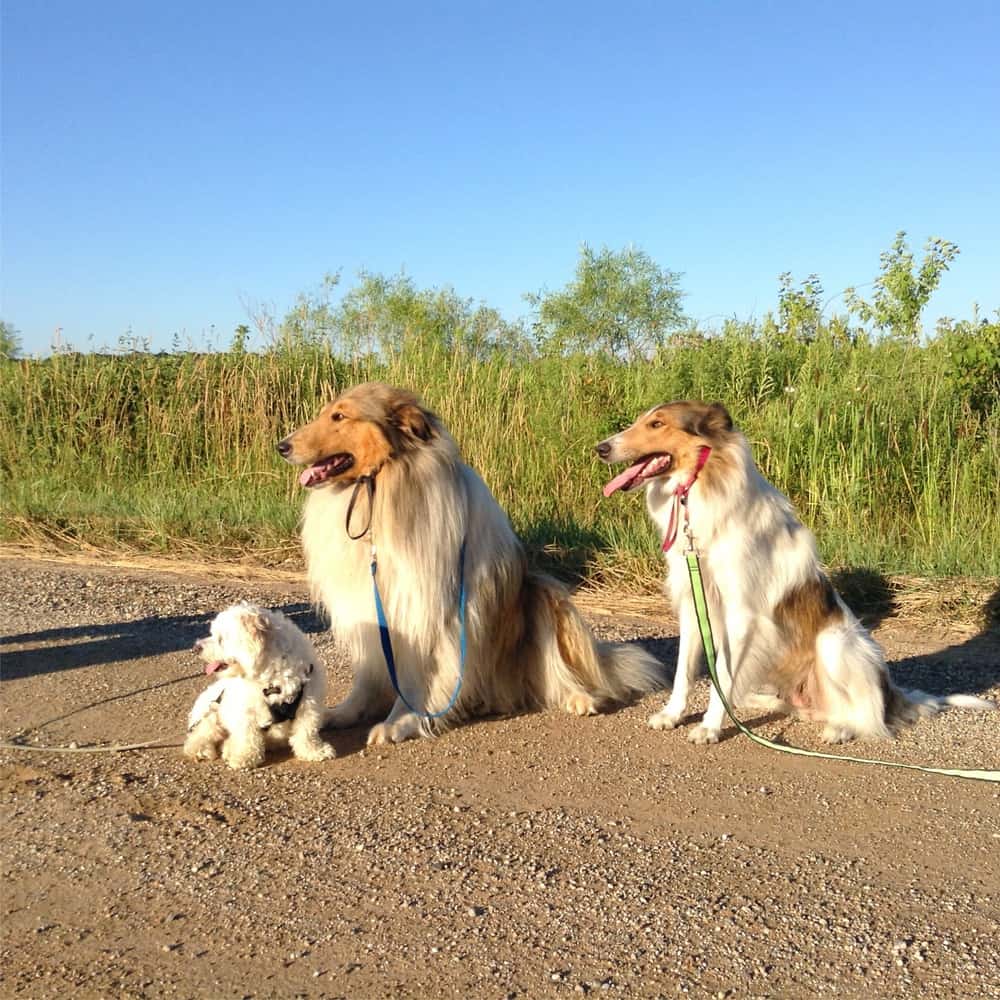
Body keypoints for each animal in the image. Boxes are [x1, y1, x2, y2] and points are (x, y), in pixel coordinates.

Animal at [184, 602, 334, 768]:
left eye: (221, 639)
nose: (196, 647)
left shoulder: (308, 704)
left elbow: (307, 732)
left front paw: (314, 751)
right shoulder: (245, 711)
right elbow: (248, 736)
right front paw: (244, 757)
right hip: (211, 715)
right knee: (197, 737)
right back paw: (204, 750)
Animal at [276, 381, 662, 746]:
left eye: (340, 416)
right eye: (327, 413)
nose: (282, 447)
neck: (379, 489)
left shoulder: (425, 609)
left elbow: (414, 679)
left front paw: (400, 722)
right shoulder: (368, 606)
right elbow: (369, 673)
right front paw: (346, 712)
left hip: (541, 594)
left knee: (560, 672)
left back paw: (578, 697)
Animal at [597, 401, 996, 744]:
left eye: (657, 424)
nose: (601, 448)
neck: (704, 491)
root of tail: (892, 694)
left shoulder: (741, 615)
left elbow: (721, 676)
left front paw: (709, 727)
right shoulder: (694, 605)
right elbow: (684, 672)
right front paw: (673, 714)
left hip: (835, 643)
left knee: (868, 718)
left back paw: (840, 728)